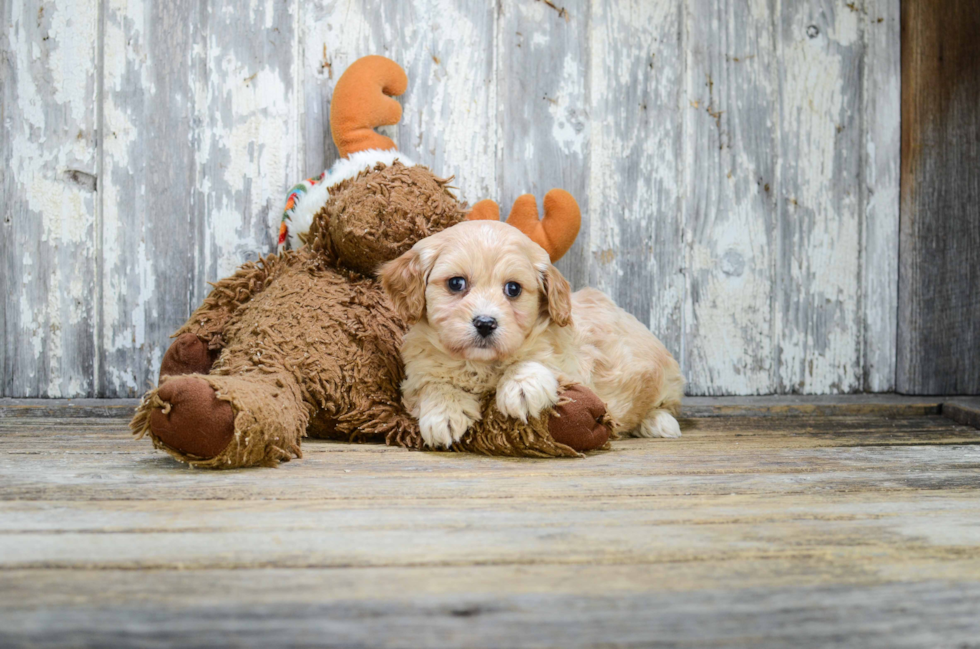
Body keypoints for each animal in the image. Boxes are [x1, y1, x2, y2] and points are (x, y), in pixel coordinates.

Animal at [378, 220, 684, 448]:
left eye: (513, 289)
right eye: (456, 283)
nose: (485, 323)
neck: (480, 364)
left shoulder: (573, 363)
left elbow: (536, 359)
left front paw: (522, 387)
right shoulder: (417, 372)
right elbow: (433, 384)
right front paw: (445, 413)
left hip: (667, 376)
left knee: (667, 404)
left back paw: (658, 422)